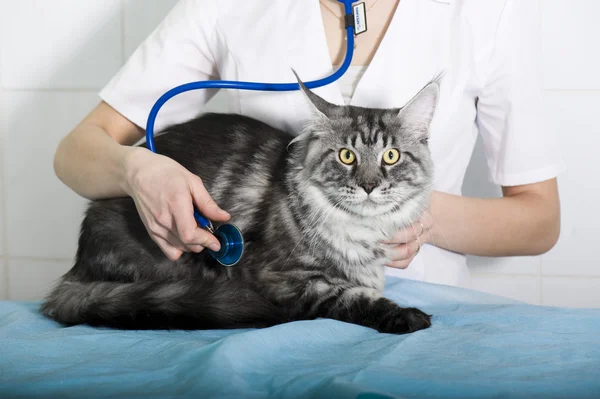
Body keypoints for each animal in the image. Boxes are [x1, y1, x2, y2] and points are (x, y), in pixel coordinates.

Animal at [39, 77, 438, 334]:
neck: (361, 230)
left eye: (391, 156)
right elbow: (352, 298)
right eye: (346, 156)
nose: (369, 186)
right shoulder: (283, 279)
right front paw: (405, 316)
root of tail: (77, 267)